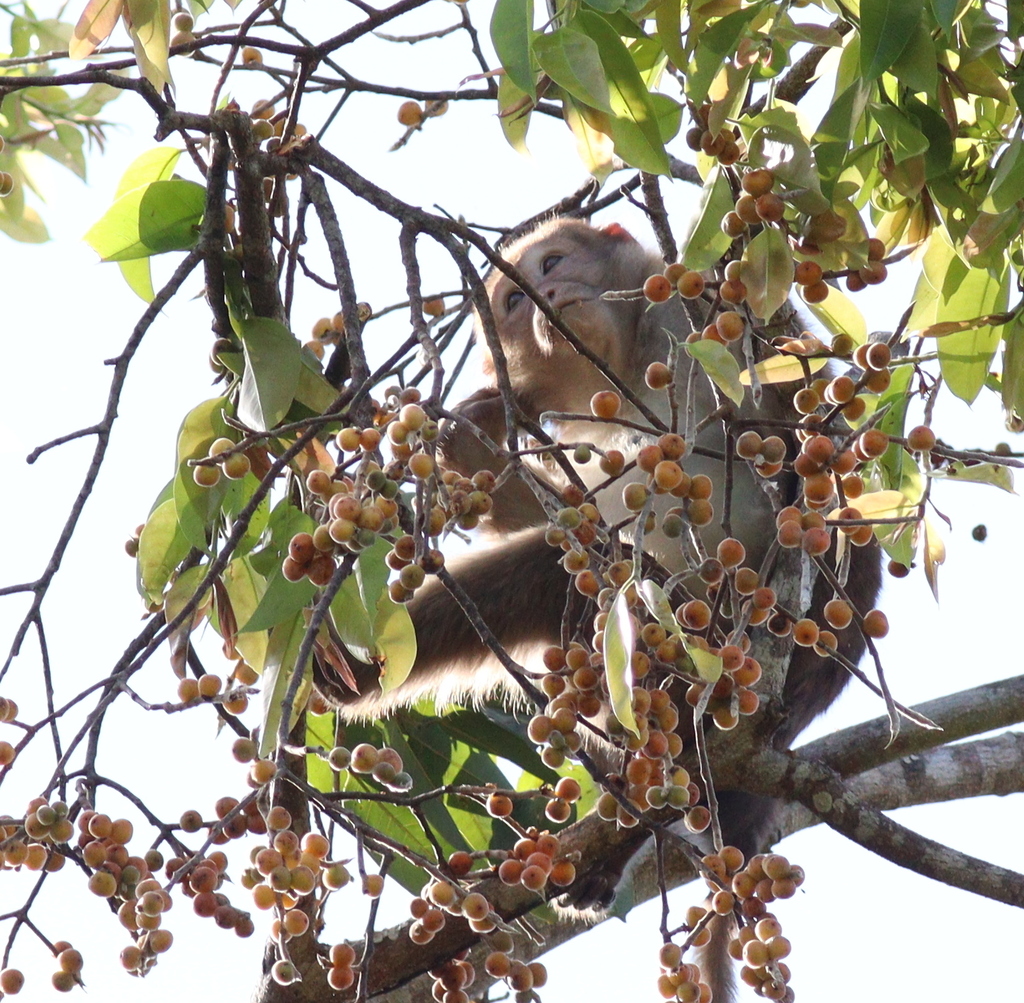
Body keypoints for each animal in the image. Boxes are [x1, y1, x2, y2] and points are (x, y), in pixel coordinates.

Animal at [315, 217, 882, 998]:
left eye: (553, 263)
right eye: (516, 300)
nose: (550, 294)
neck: (630, 357)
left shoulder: (710, 310)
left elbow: (815, 437)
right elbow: (569, 516)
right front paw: (471, 445)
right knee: (572, 573)